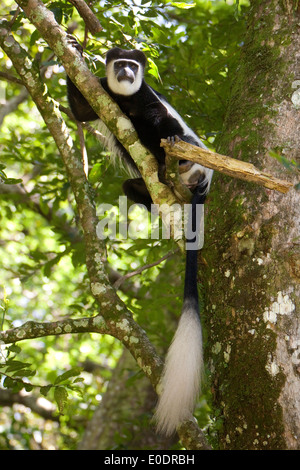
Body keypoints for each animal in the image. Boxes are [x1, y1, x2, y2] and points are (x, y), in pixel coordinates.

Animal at [67, 44, 213, 436]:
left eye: (134, 66)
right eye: (120, 65)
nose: (127, 74)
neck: (124, 97)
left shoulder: (146, 95)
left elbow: (157, 114)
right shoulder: (101, 88)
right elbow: (81, 112)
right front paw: (71, 48)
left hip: (190, 156)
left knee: (161, 127)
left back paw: (174, 161)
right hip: (149, 187)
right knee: (132, 187)